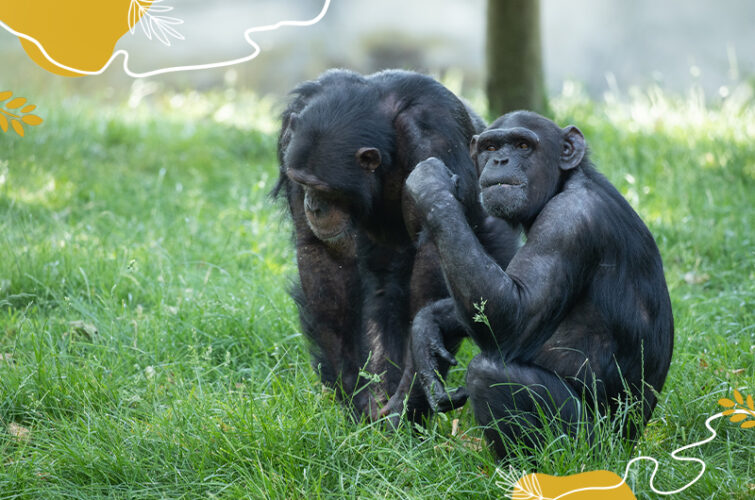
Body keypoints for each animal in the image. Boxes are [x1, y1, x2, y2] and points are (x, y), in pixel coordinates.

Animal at [272, 69, 520, 422]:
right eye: (301, 182)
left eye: (324, 189)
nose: (313, 205)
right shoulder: (289, 141)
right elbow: (322, 254)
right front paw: (354, 393)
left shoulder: (436, 138)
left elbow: (434, 249)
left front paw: (413, 392)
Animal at [404, 111, 676, 458]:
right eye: (491, 147)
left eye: (523, 145)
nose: (500, 160)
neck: (562, 185)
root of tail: (630, 445)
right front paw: (427, 328)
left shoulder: (566, 223)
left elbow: (514, 315)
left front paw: (431, 186)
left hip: (591, 445)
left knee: (489, 373)